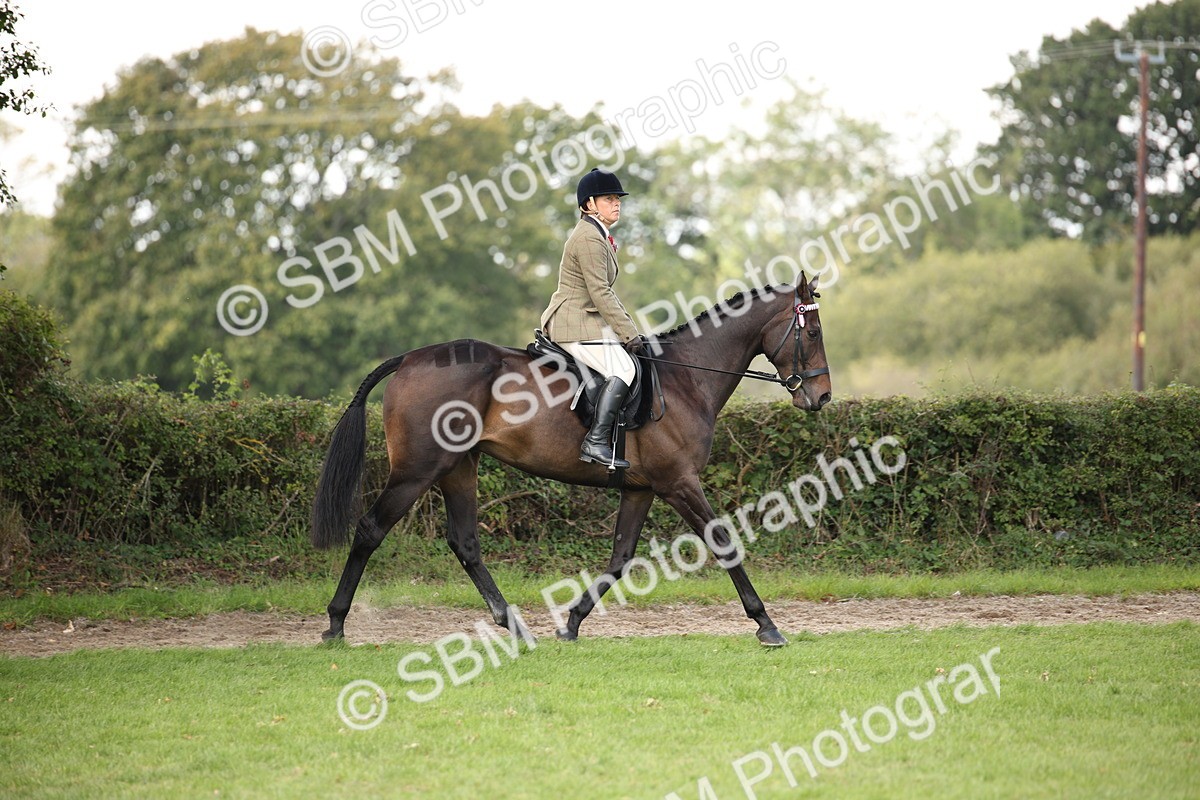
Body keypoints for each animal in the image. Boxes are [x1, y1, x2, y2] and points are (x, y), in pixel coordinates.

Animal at [311, 275, 832, 646]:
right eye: (811, 330)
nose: (823, 397)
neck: (686, 379)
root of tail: (408, 359)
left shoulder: (642, 488)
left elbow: (620, 558)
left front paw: (572, 623)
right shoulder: (679, 482)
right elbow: (724, 543)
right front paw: (766, 624)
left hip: (459, 467)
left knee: (465, 543)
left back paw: (514, 626)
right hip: (418, 471)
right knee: (370, 529)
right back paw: (335, 625)